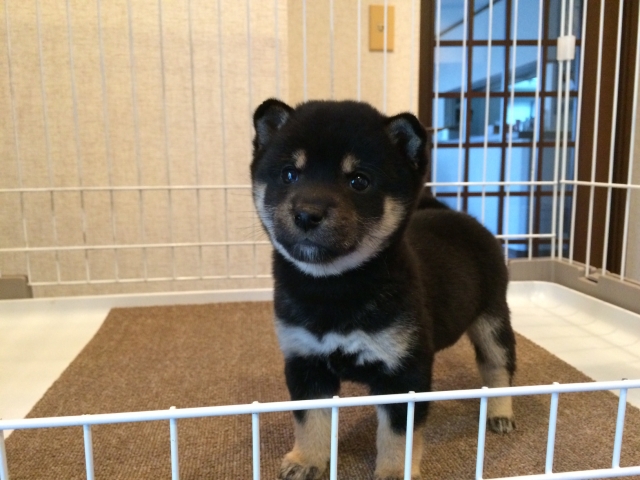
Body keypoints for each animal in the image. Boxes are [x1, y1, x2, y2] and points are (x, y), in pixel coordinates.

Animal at [250, 99, 516, 480]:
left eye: (359, 181)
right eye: (289, 174)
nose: (307, 213)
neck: (334, 287)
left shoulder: (402, 373)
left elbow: (397, 436)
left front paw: (393, 472)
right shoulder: (306, 363)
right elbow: (310, 422)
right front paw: (307, 460)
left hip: (492, 318)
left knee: (498, 368)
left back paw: (500, 412)